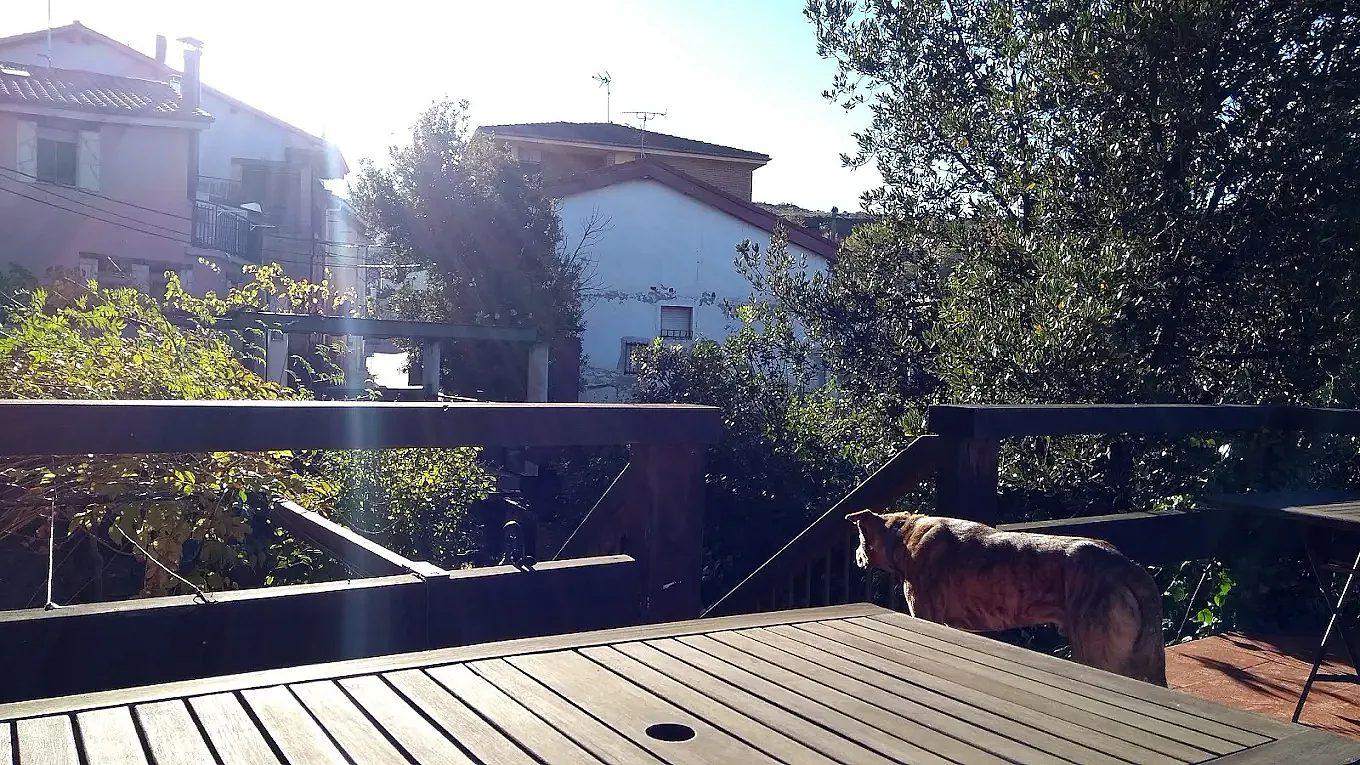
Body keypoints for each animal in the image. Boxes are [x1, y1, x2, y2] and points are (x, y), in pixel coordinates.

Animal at [848, 509, 1167, 686]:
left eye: (859, 541)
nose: (856, 557)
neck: (903, 534)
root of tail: (1126, 566)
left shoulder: (926, 615)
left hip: (1097, 652)